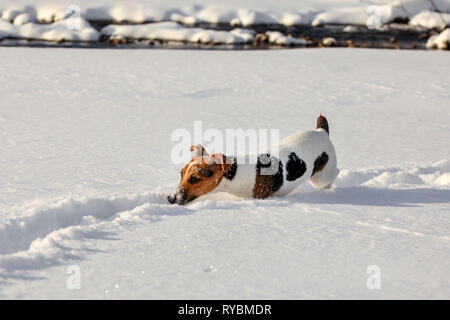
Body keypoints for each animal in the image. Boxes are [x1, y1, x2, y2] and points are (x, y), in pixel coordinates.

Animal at [168, 115, 338, 205]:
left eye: (195, 179)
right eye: (181, 174)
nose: (170, 198)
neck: (235, 174)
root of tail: (321, 131)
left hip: (321, 177)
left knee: (334, 173)